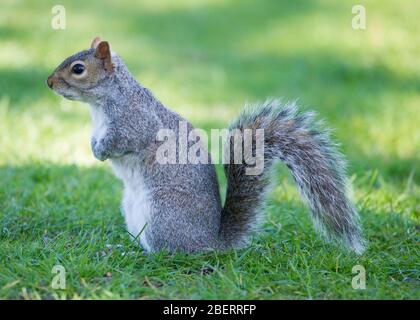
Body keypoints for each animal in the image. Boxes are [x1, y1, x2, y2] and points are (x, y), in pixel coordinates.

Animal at [47, 36, 366, 254]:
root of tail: (211, 241)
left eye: (78, 69)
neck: (102, 102)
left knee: (169, 251)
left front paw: (100, 152)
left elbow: (122, 140)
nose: (49, 82)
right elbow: (96, 137)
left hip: (163, 212)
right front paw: (93, 146)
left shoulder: (135, 121)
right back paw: (124, 249)